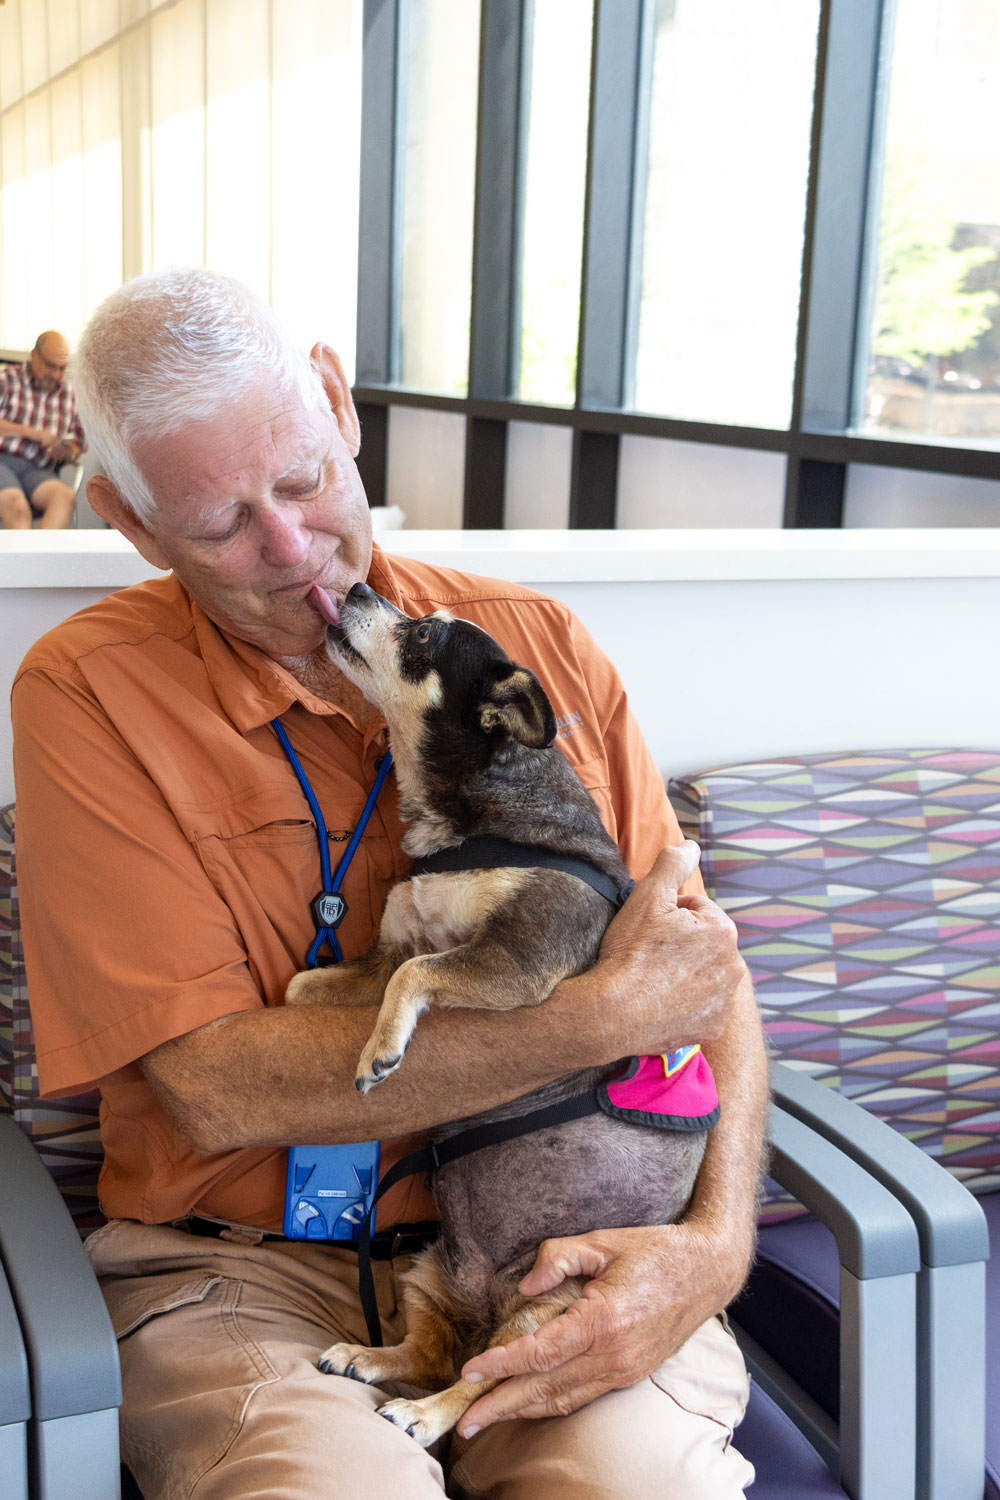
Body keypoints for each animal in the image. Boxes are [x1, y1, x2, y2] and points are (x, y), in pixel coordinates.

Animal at [284, 579, 716, 1446]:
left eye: (422, 635)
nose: (355, 585)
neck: (466, 821)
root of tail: (486, 1304)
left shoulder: (519, 961)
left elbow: (414, 974)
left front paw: (380, 1049)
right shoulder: (386, 951)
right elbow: (315, 985)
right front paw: (306, 1002)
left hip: (553, 1308)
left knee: (483, 1382)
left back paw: (422, 1415)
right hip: (424, 1267)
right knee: (433, 1352)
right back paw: (369, 1358)